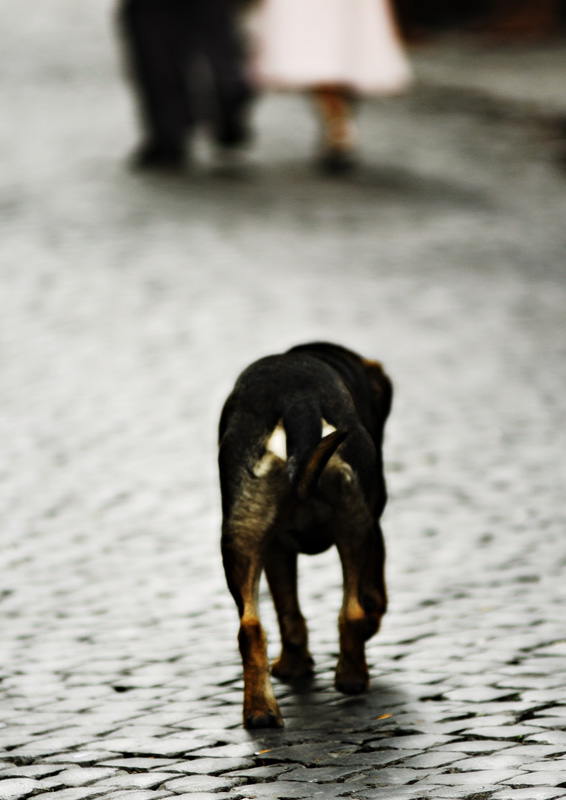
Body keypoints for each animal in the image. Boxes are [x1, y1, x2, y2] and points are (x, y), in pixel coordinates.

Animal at [220, 340, 392, 728]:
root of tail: (299, 400)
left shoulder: (276, 548)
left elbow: (288, 610)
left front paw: (294, 667)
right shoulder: (375, 526)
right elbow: (375, 595)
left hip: (240, 536)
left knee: (249, 626)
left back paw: (261, 712)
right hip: (358, 524)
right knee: (353, 611)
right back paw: (353, 678)